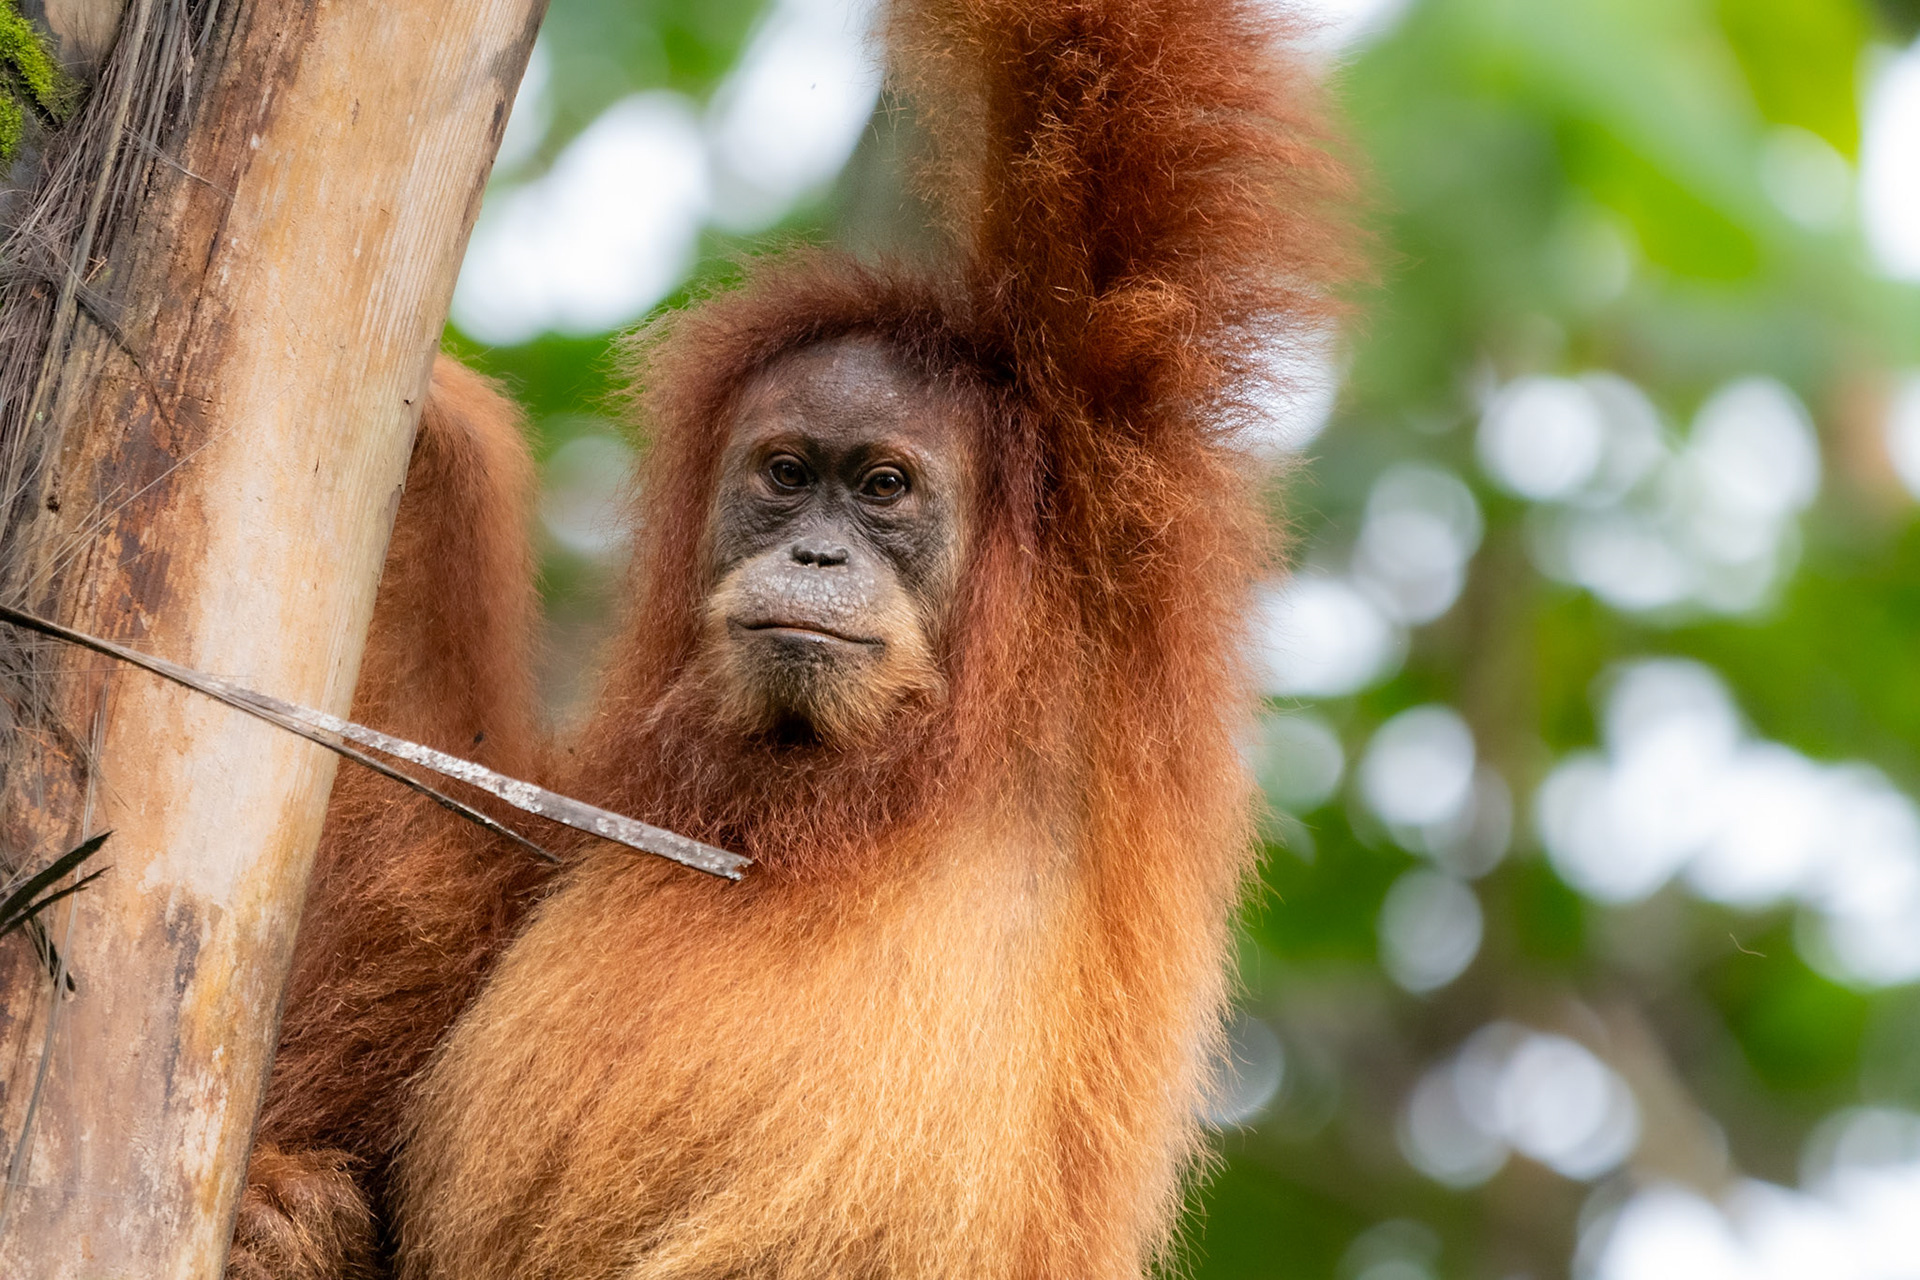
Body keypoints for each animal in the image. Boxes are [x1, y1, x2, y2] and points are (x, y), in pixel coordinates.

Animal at [226, 0, 1354, 1276]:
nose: (817, 555)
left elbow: (1097, 67)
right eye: (784, 474)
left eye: (882, 485)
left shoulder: (1121, 466)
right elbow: (439, 915)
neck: (852, 768)